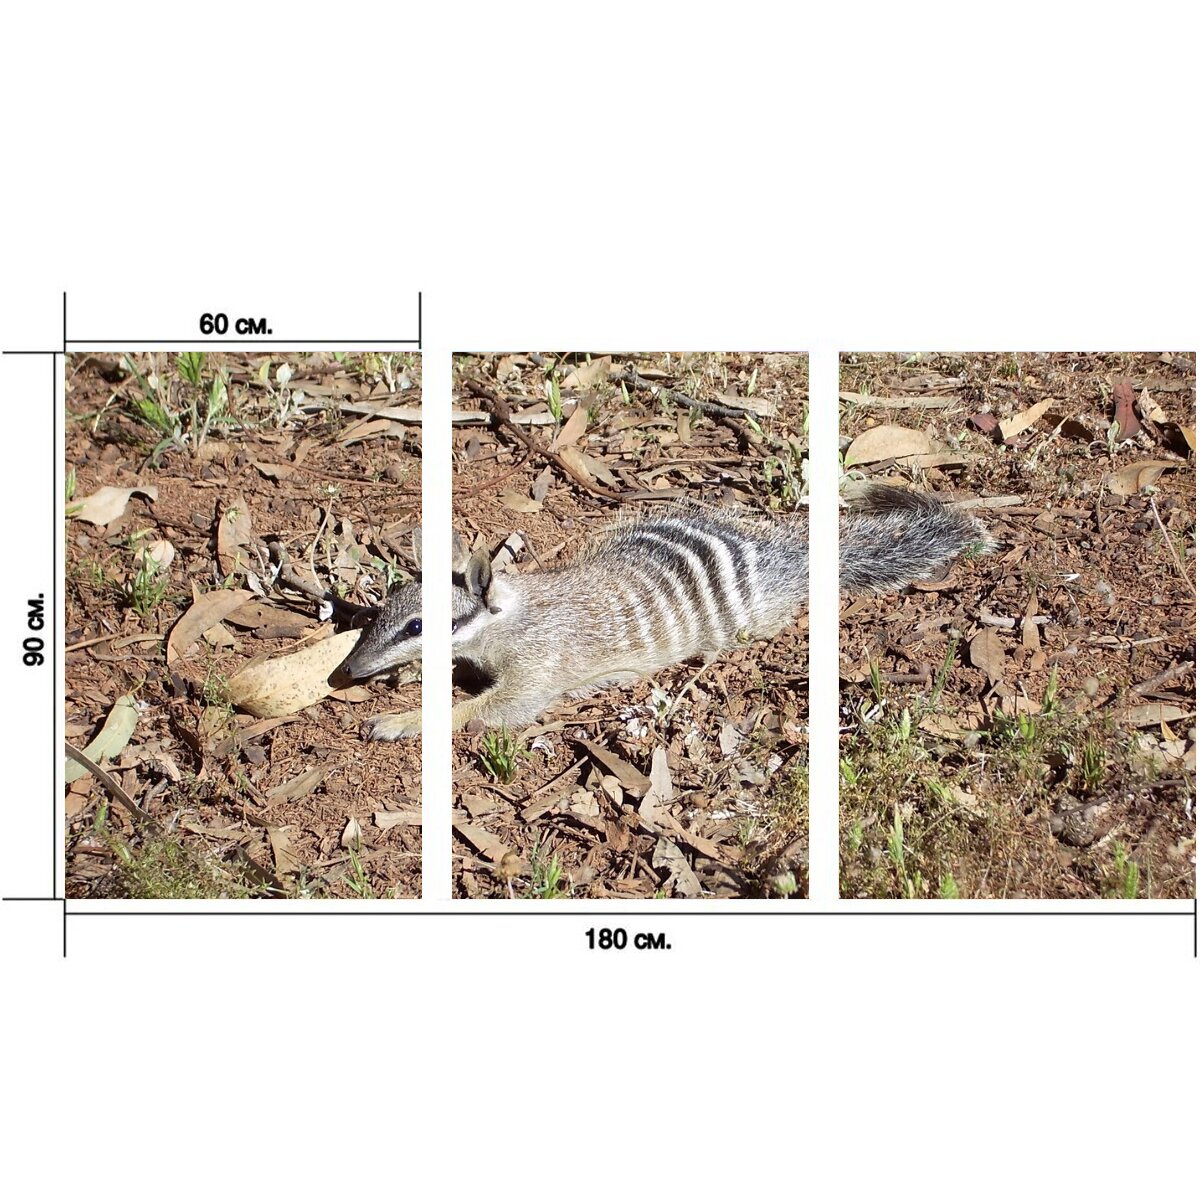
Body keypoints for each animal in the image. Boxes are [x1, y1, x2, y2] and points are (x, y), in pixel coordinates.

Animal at [340, 485, 992, 740]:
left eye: (417, 626)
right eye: (386, 611)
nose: (347, 671)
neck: (510, 616)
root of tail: (790, 551)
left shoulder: (537, 668)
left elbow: (491, 711)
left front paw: (400, 718)